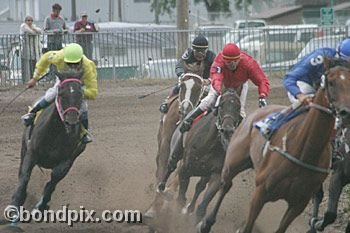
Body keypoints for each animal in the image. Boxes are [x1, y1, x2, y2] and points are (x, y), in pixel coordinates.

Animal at [144, 72, 208, 218]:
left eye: (198, 88)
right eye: (182, 86)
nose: (185, 109)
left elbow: (179, 172)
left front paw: (169, 192)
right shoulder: (166, 144)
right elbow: (162, 169)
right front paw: (153, 208)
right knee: (159, 165)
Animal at [162, 88, 242, 217]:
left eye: (238, 107)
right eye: (221, 105)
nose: (228, 130)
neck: (210, 145)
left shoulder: (216, 175)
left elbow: (204, 200)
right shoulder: (185, 169)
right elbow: (180, 197)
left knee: (200, 186)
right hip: (176, 150)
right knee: (171, 166)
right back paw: (161, 187)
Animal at [197, 57, 350, 233]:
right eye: (331, 82)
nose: (346, 112)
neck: (305, 150)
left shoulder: (298, 204)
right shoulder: (260, 192)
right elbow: (247, 226)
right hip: (233, 162)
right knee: (226, 184)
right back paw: (206, 223)